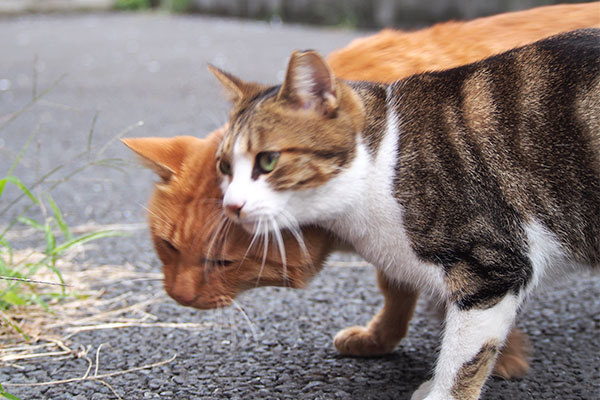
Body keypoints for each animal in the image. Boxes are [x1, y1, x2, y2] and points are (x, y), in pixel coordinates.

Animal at [124, 3, 596, 380]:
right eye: (167, 247)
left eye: (223, 261)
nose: (178, 297)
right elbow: (398, 287)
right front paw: (382, 337)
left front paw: (502, 357)